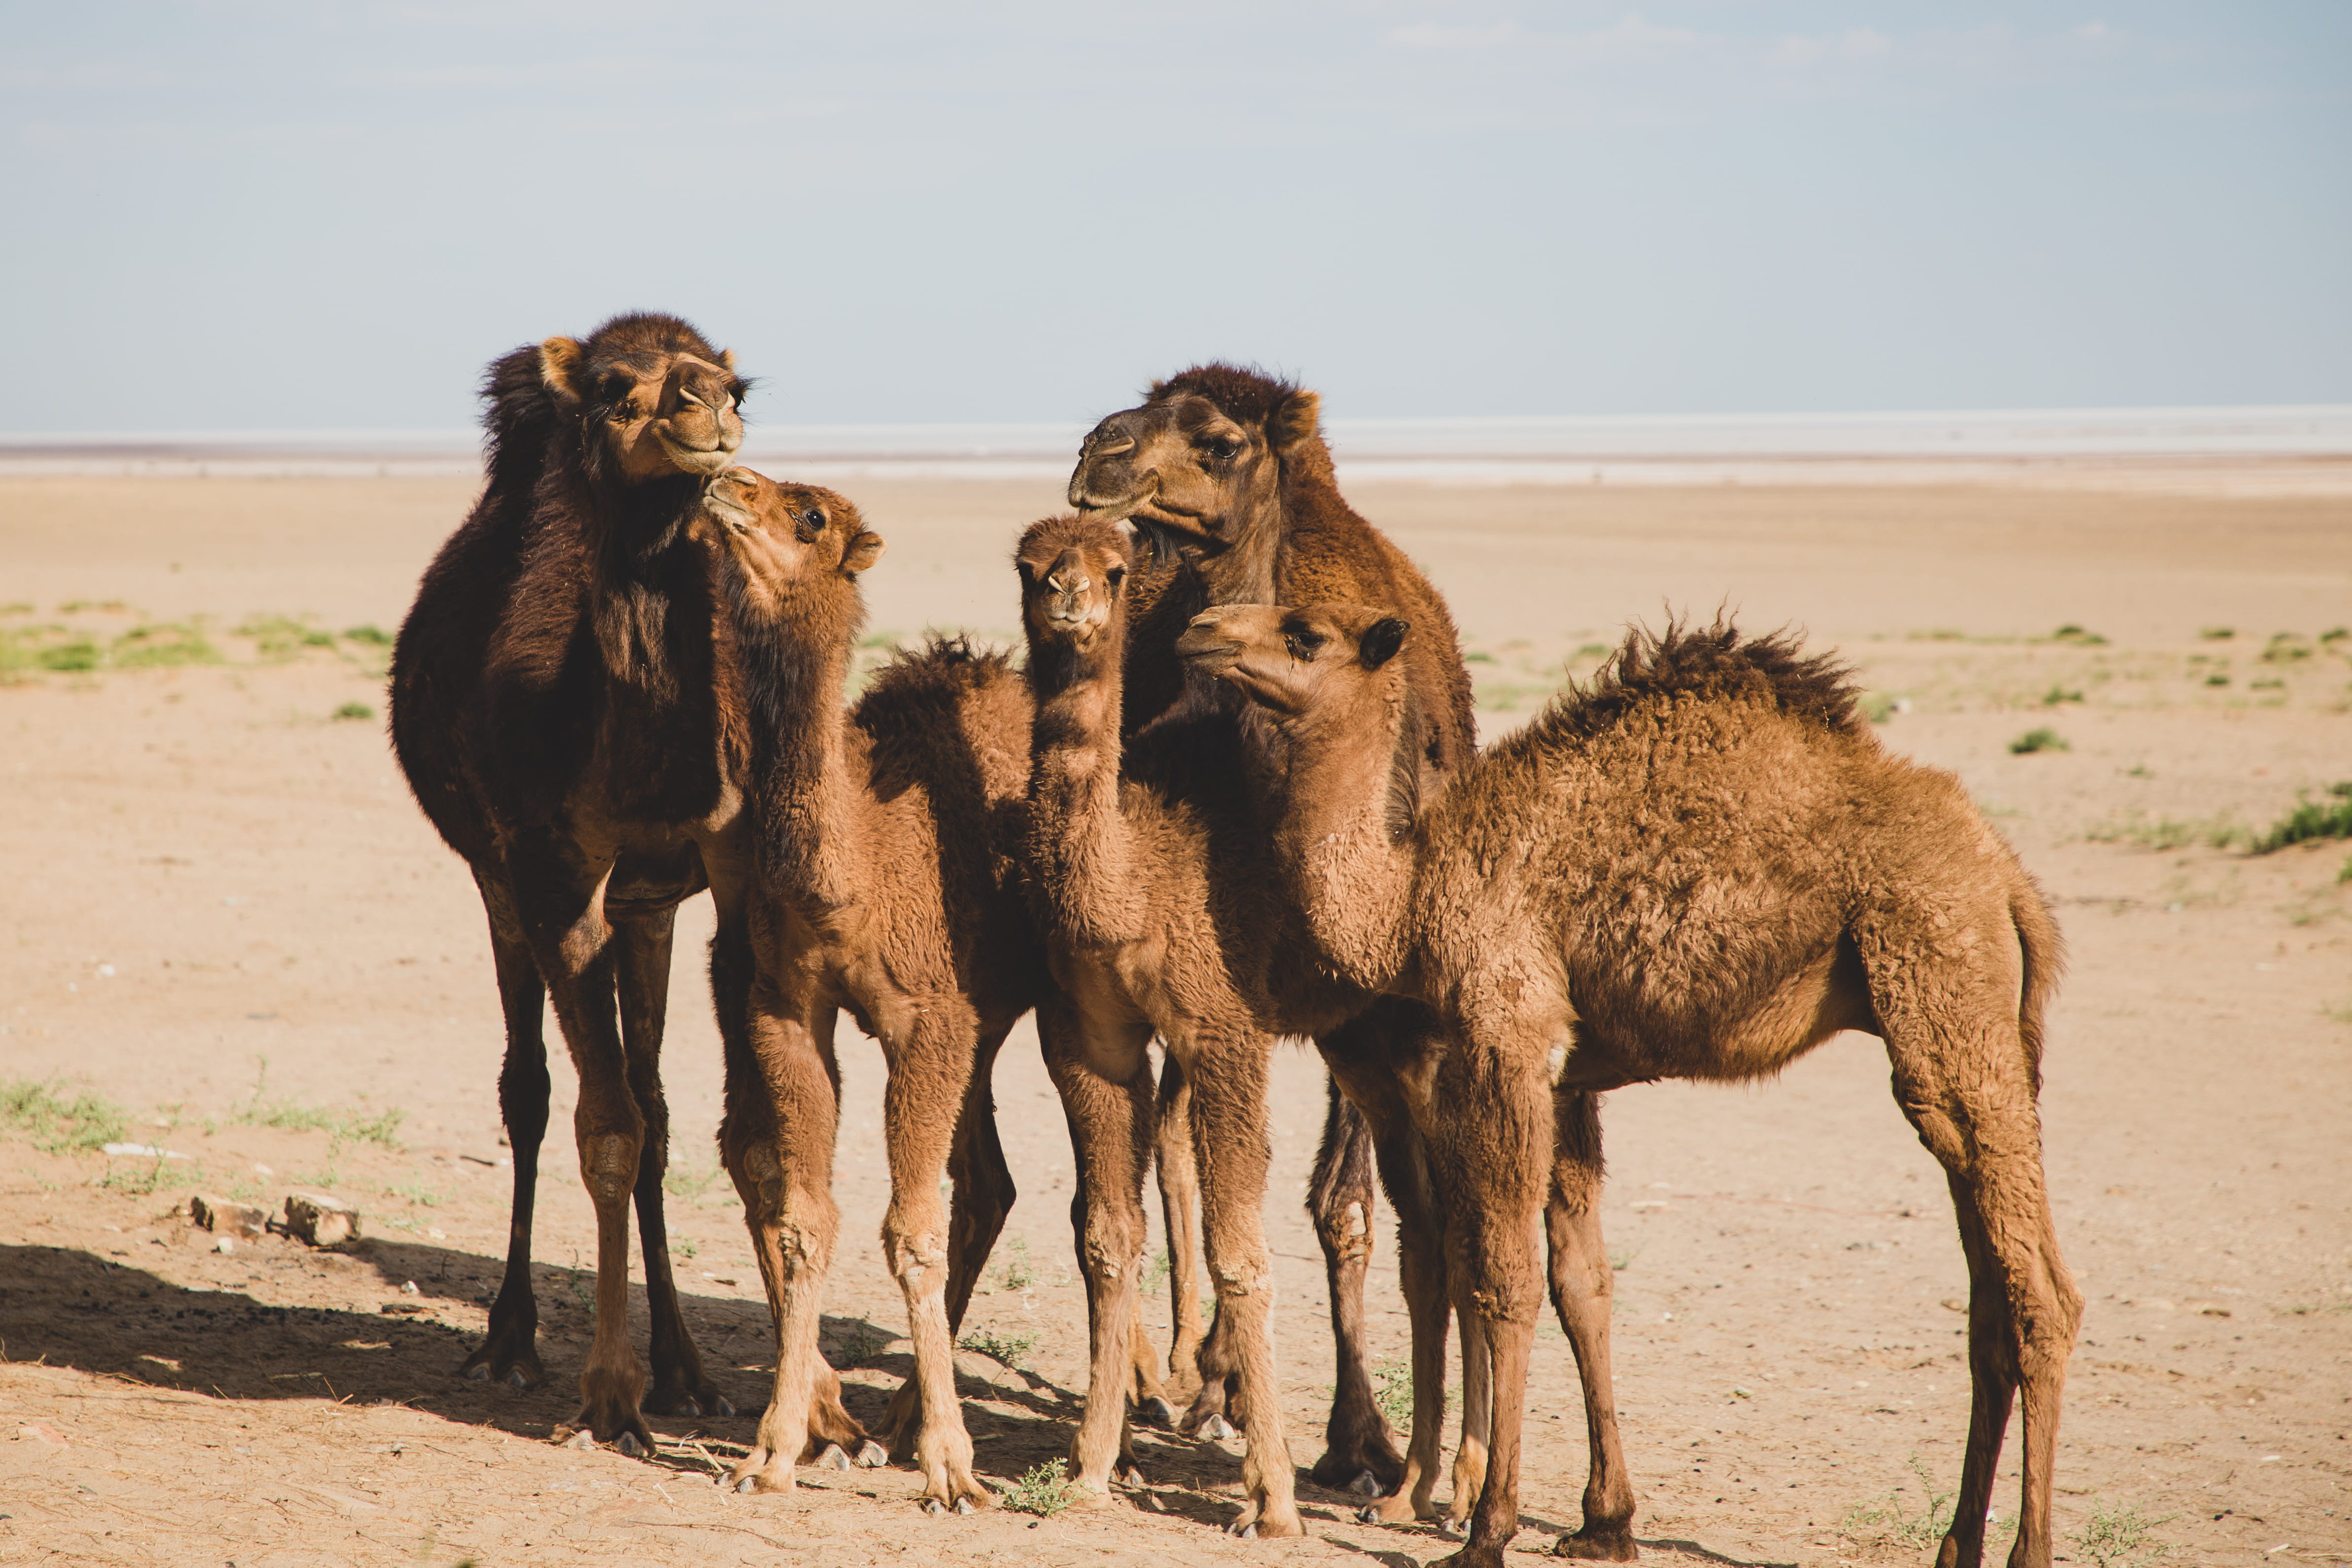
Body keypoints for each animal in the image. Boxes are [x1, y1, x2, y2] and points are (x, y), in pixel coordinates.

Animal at [389, 314, 869, 1460]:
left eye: (738, 384)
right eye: (615, 390)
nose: (707, 409)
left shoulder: (727, 881)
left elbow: (748, 1136)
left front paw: (825, 1407)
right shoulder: (555, 873)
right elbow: (603, 1128)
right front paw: (609, 1393)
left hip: (647, 908)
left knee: (652, 1098)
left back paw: (686, 1367)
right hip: (498, 882)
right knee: (532, 1091)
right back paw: (513, 1342)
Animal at [1068, 363, 1484, 1496]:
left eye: (1218, 441)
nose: (1098, 455)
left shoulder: (1362, 1000)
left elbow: (1344, 1206)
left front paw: (1361, 1441)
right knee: (1164, 1152)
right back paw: (1165, 1374)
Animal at [1178, 603, 2085, 1568]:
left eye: (1303, 635)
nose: (1202, 628)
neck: (1413, 893)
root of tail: (2010, 884)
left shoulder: (1508, 1035)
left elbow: (1503, 1279)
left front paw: (1485, 1531)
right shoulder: (1564, 1071)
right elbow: (1577, 1279)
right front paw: (1597, 1523)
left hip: (1942, 983)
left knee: (2041, 1296)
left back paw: (2028, 1547)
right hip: (1969, 1042)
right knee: (1988, 1300)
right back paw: (1956, 1544)